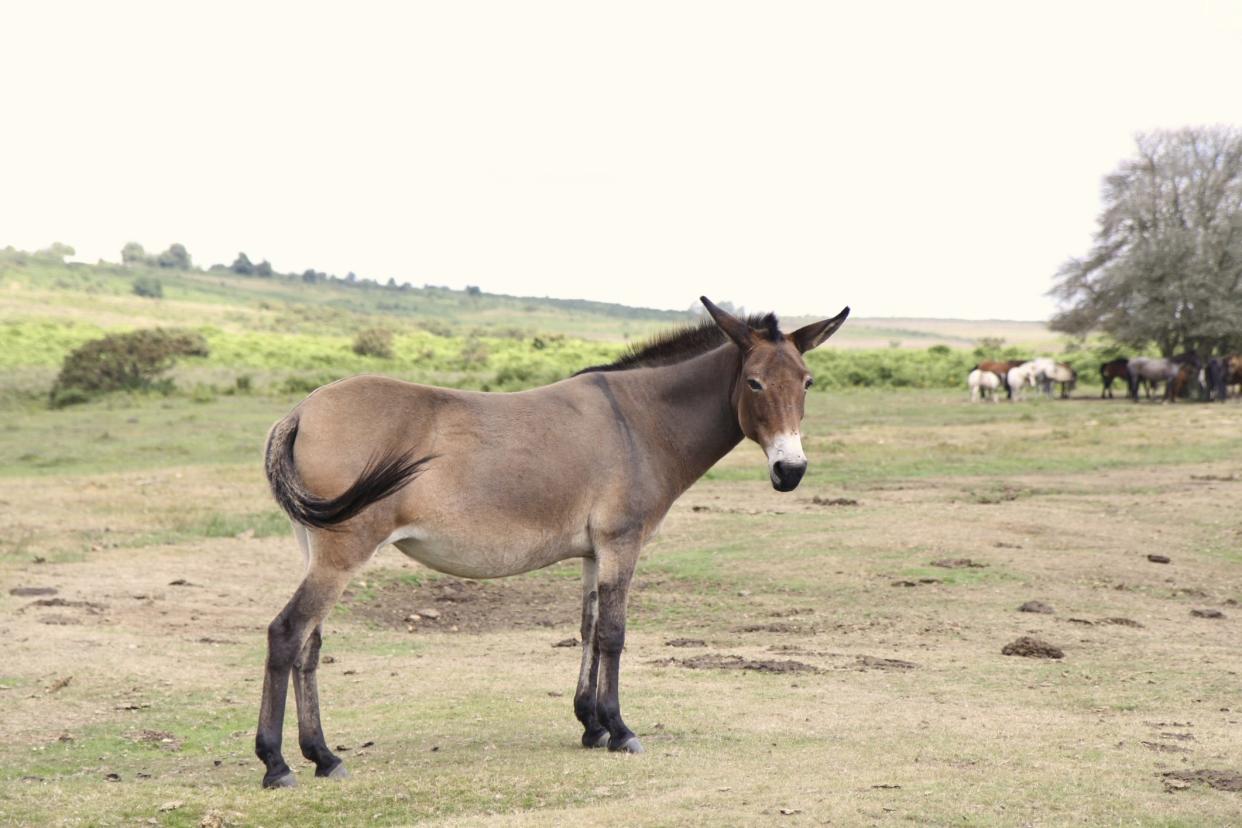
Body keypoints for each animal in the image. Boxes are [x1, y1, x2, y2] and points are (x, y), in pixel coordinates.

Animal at [252, 294, 854, 789]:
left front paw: (591, 725)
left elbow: (587, 629)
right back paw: (278, 764)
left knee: (310, 647)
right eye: (754, 383)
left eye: (806, 383)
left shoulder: (593, 552)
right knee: (286, 634)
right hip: (342, 556)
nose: (790, 471)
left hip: (318, 552)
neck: (639, 421)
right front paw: (620, 729)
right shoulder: (621, 545)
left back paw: (323, 757)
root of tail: (301, 410)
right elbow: (613, 634)